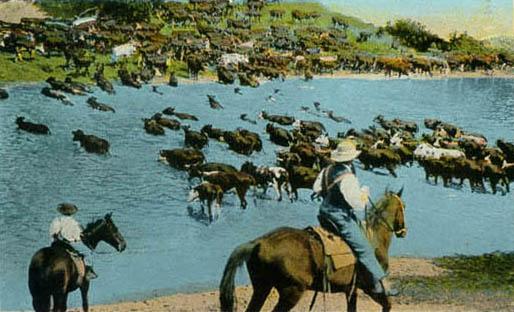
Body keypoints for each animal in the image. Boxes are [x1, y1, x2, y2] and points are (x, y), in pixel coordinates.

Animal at [218, 189, 406, 310]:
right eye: (403, 206)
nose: (403, 231)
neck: (374, 238)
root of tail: (259, 243)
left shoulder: (350, 290)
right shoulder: (372, 288)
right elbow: (387, 305)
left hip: (262, 288)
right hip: (290, 293)